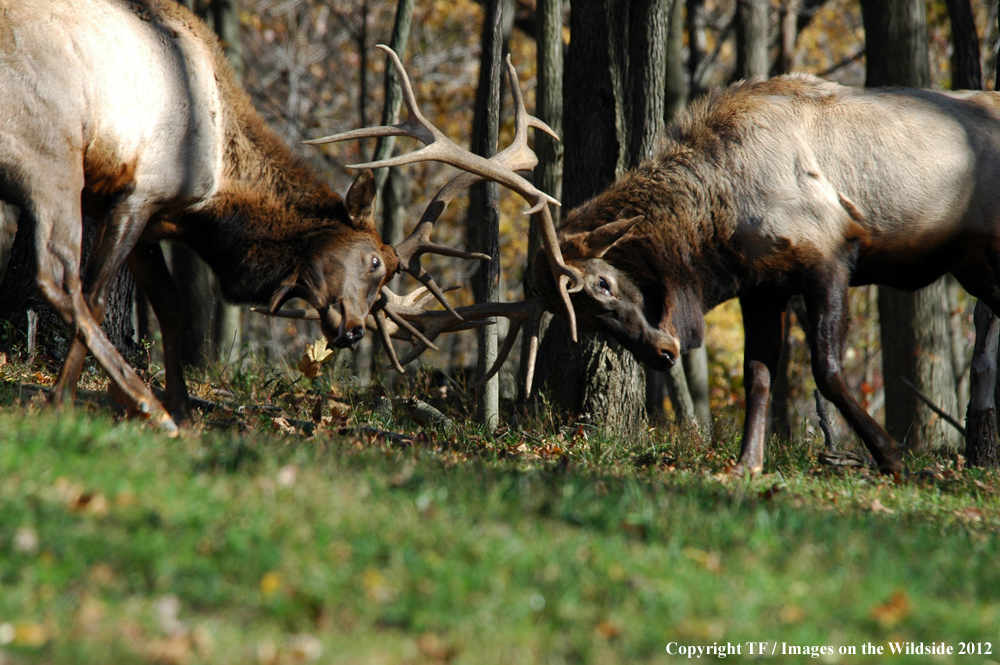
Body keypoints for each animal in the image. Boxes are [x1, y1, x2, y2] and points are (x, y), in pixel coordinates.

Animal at [0, 0, 577, 432]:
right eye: (373, 261)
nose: (355, 332)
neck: (214, 197)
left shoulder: (146, 214)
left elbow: (169, 304)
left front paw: (183, 407)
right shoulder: (138, 193)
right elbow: (97, 296)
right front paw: (79, 399)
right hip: (50, 151)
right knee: (57, 277)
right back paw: (131, 404)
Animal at [429, 74, 1000, 478]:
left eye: (602, 283)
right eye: (585, 321)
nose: (663, 352)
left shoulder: (830, 254)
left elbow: (828, 368)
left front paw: (891, 456)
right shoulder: (764, 287)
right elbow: (759, 375)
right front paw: (748, 464)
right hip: (975, 265)